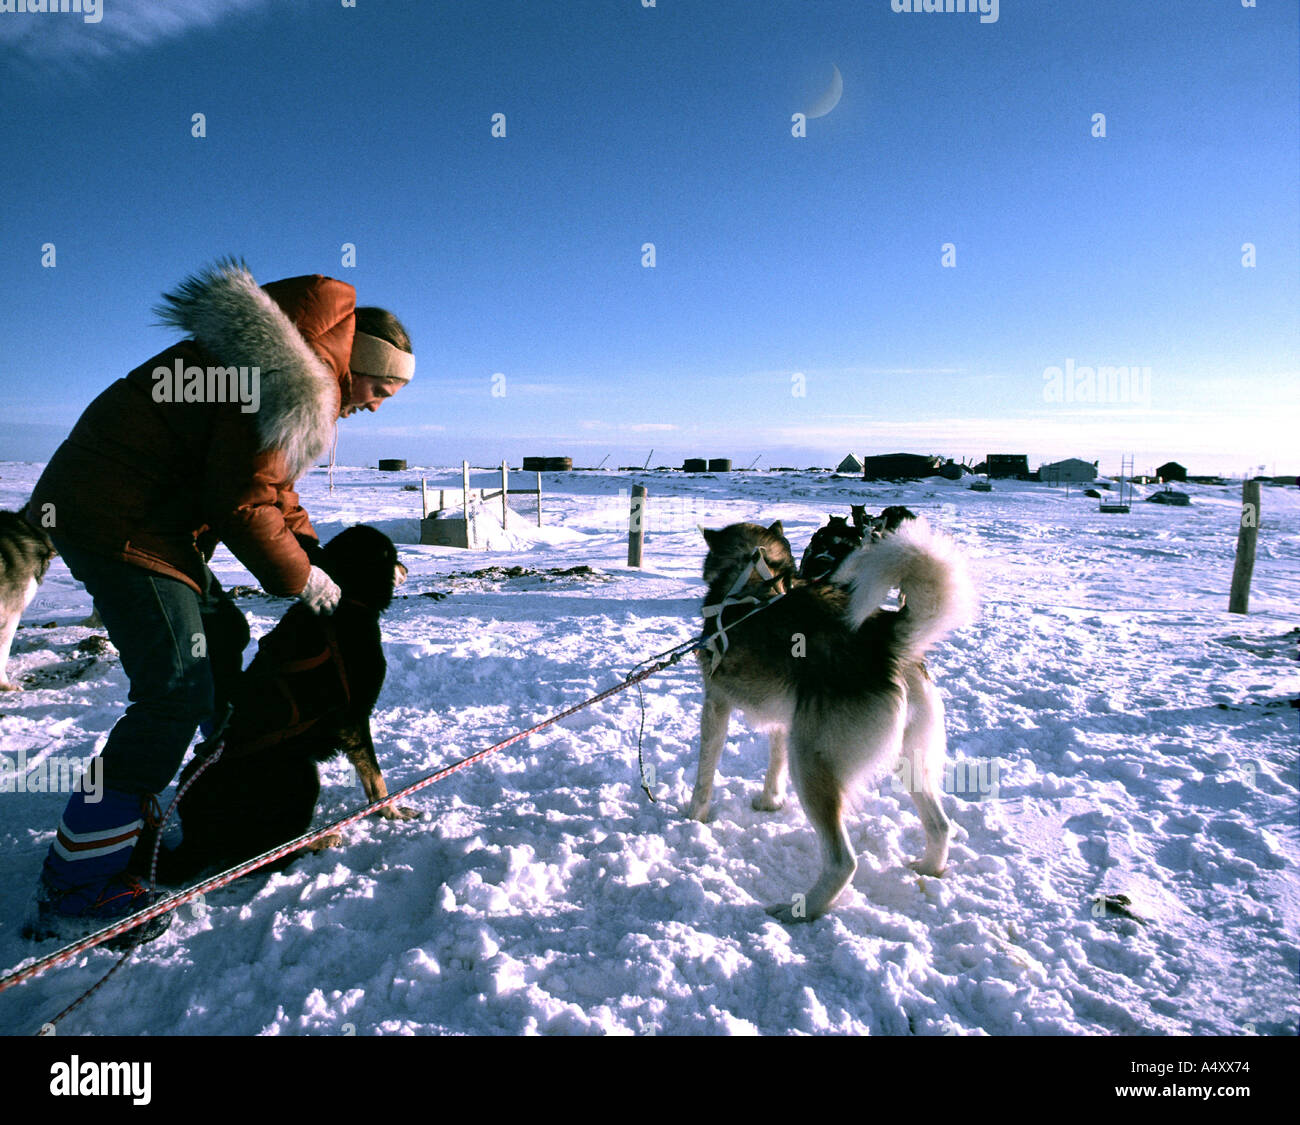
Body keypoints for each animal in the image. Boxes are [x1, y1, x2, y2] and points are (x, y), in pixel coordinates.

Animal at [152, 522, 418, 884]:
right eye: (391, 554)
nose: (406, 568)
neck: (347, 600)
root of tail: (192, 831)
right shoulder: (353, 719)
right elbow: (376, 779)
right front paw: (390, 810)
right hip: (301, 773)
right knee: (259, 858)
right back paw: (318, 841)